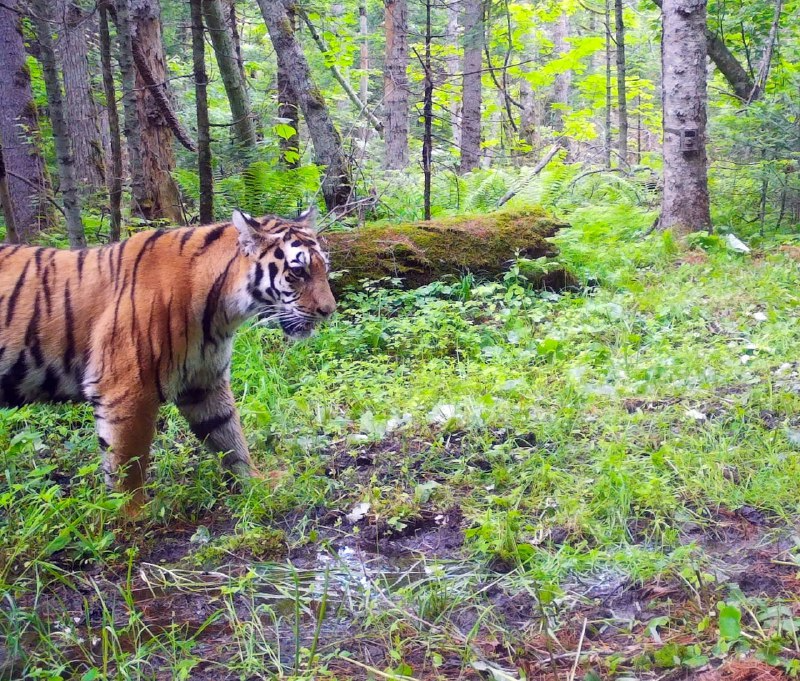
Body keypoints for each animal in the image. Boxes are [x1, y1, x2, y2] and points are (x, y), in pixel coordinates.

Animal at [0, 207, 334, 516]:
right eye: (298, 272)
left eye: (323, 269)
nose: (329, 310)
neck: (221, 311)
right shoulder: (126, 390)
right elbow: (127, 462)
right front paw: (133, 517)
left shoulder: (204, 382)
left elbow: (229, 436)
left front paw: (256, 482)